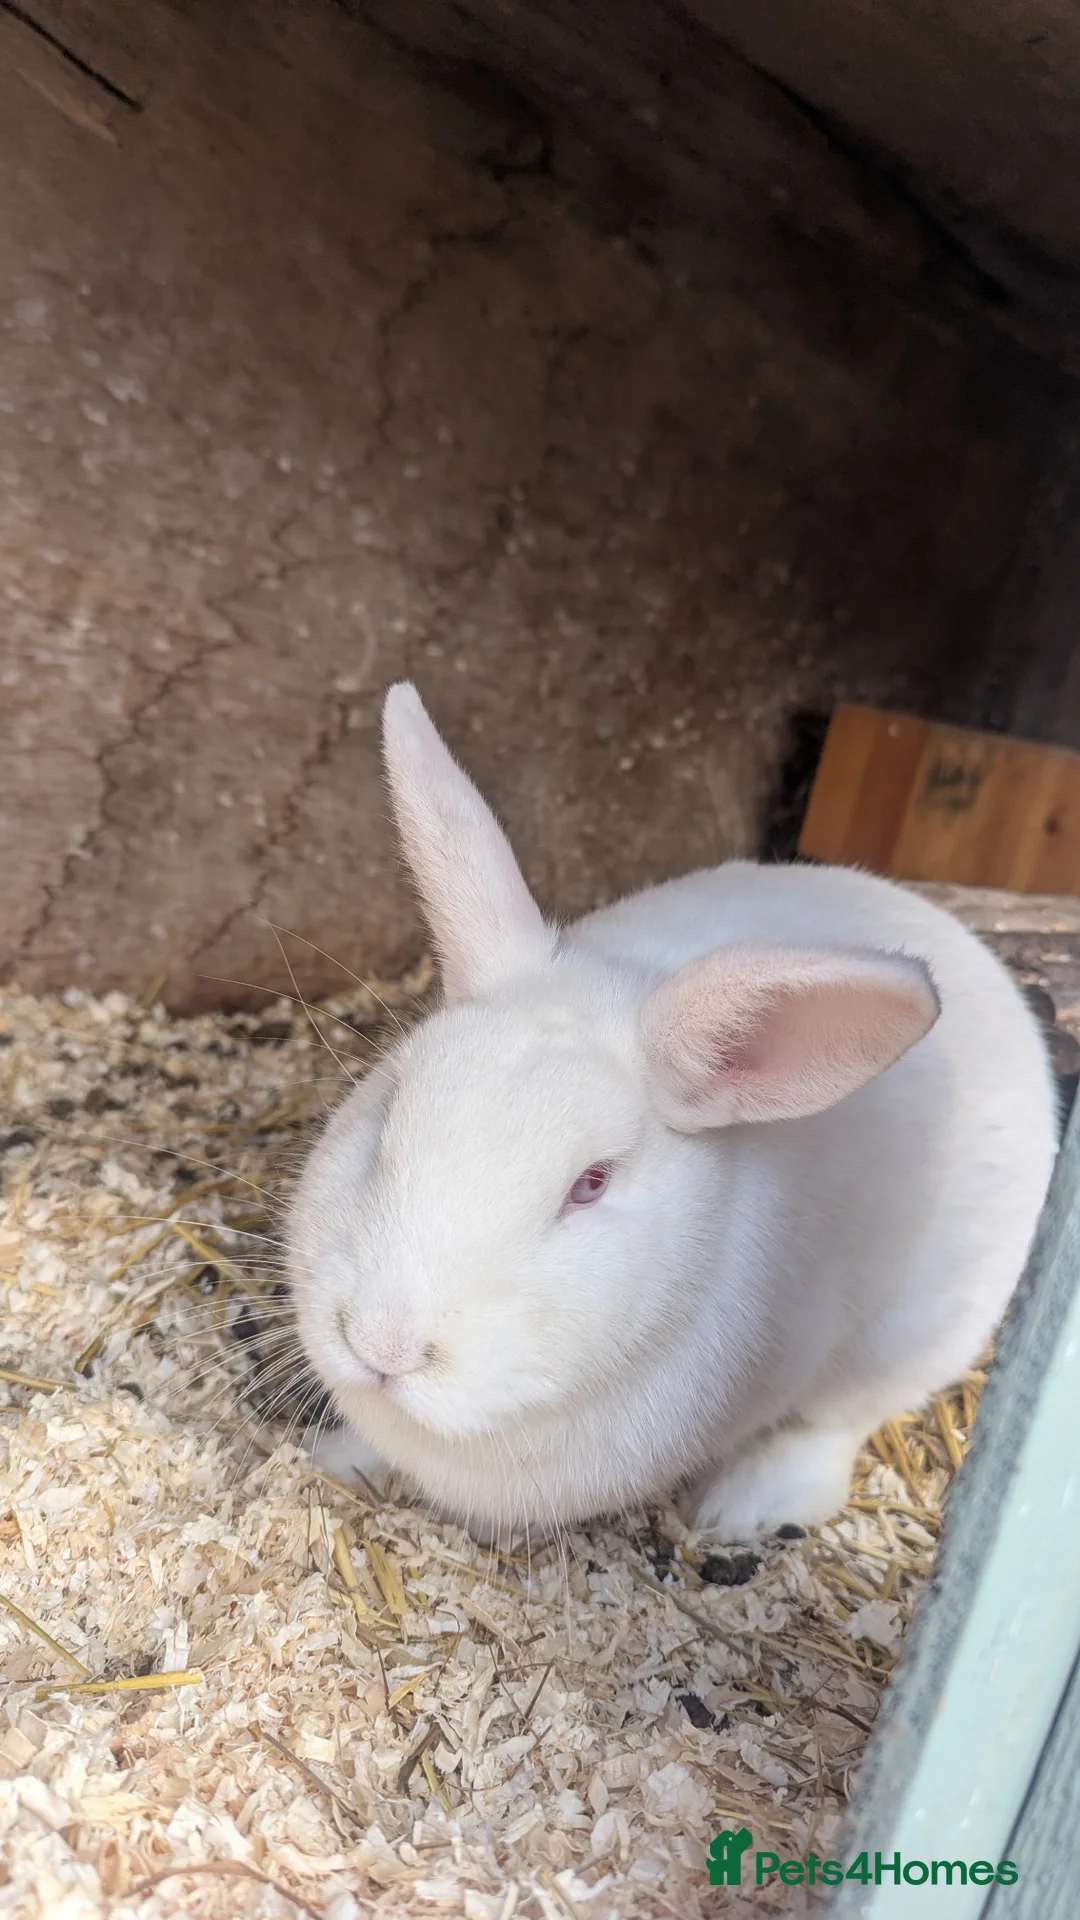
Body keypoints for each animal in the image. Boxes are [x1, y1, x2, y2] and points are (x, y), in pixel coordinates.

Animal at [286, 682, 1057, 1542]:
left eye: (590, 1185)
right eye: (389, 1114)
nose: (381, 1343)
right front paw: (336, 1457)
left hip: (920, 1331)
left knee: (834, 1424)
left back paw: (743, 1508)